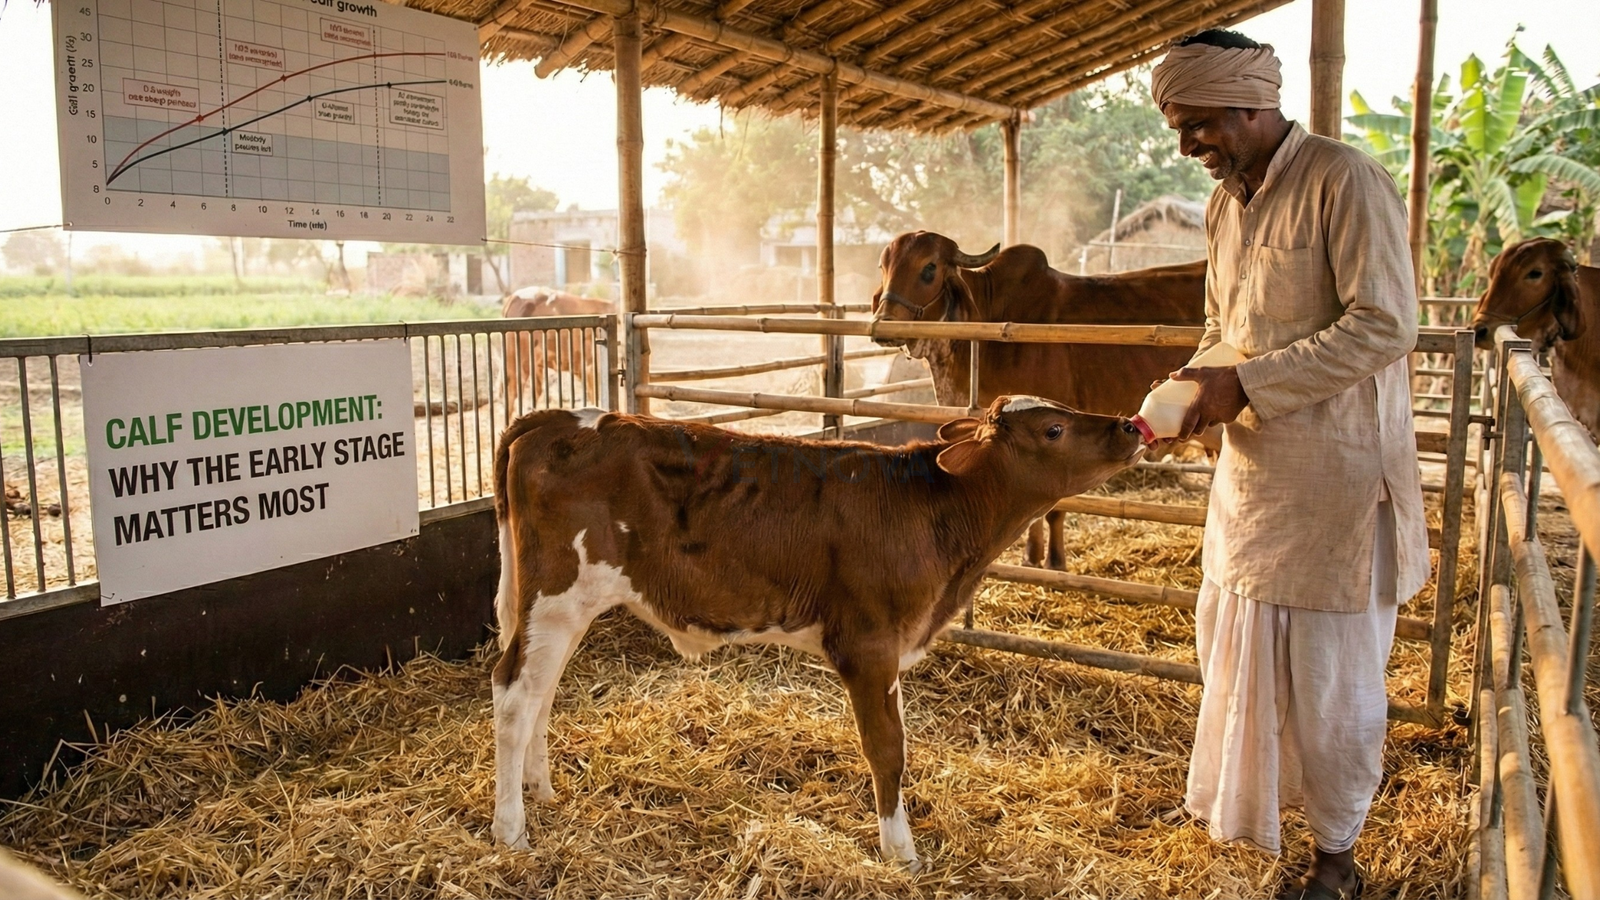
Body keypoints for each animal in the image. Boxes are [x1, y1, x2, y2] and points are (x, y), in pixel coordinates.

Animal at [488, 397, 1146, 867]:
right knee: (515, 693)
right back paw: (510, 829)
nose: (1129, 426)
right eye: (1053, 429)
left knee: (542, 692)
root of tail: (554, 418)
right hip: (557, 594)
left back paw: (541, 790)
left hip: (562, 606)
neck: (932, 511)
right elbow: (887, 748)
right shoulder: (869, 644)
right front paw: (901, 852)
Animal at [870, 231, 1207, 567]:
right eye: (883, 266)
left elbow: (1054, 508)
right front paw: (1030, 556)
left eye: (929, 267)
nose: (884, 324)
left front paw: (1054, 562)